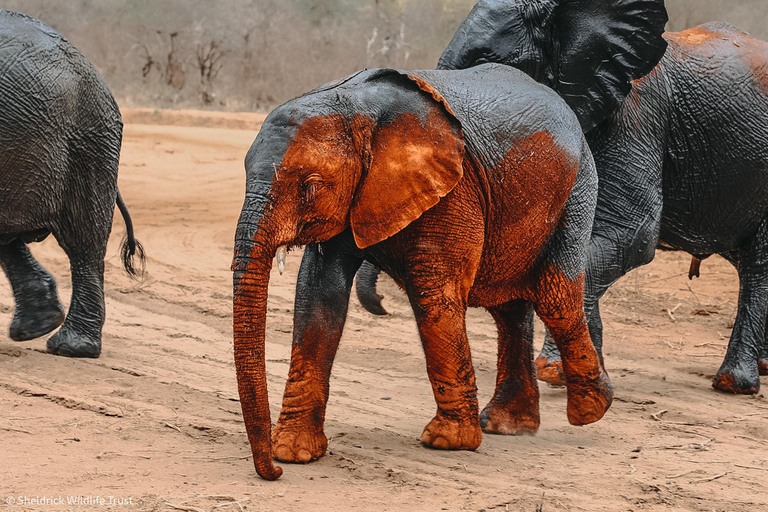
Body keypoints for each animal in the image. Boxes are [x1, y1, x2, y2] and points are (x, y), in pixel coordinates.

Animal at [356, 0, 768, 396]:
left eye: (485, 66)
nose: (381, 306)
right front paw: (580, 374)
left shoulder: (638, 114)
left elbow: (629, 236)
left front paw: (555, 371)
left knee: (758, 267)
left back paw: (734, 383)